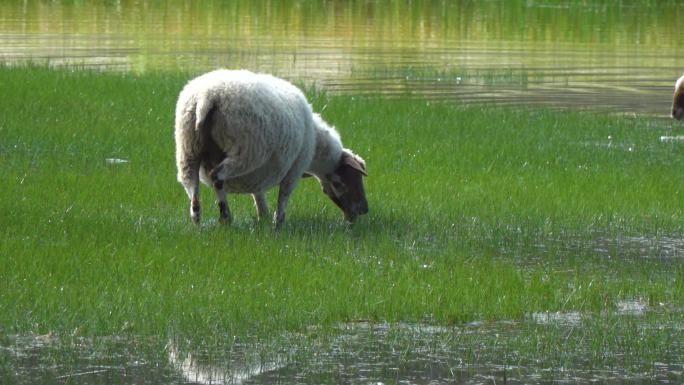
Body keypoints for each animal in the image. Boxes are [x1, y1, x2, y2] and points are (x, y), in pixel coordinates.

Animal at [175, 70, 368, 225]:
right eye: (340, 183)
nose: (363, 211)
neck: (316, 147)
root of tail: (206, 97)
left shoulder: (258, 175)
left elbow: (259, 198)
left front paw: (264, 220)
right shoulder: (294, 170)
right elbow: (283, 197)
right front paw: (278, 223)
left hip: (188, 150)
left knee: (192, 189)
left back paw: (197, 223)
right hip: (245, 151)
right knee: (217, 176)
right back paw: (225, 217)